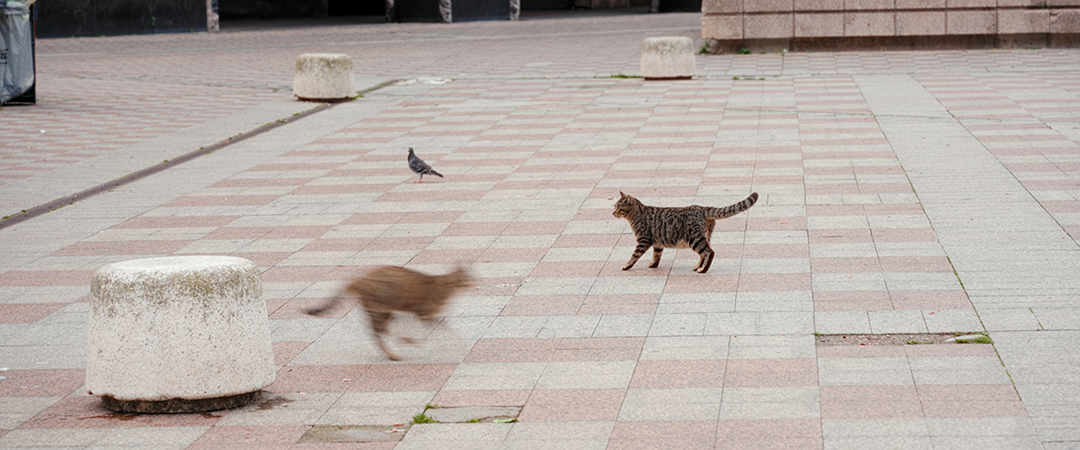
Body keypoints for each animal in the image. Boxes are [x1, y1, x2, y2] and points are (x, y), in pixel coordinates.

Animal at [304, 264, 473, 360]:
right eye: (463, 281)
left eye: (472, 278)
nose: (472, 283)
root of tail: (360, 279)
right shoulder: (423, 313)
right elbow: (444, 330)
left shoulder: (429, 316)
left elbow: (446, 328)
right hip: (379, 307)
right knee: (379, 331)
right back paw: (398, 347)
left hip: (385, 311)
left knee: (381, 330)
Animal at [617, 189, 760, 271]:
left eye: (618, 207)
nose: (613, 212)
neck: (636, 215)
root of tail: (702, 208)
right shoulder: (658, 243)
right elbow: (656, 255)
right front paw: (653, 264)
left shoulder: (643, 240)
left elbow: (634, 255)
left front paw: (627, 265)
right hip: (704, 236)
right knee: (704, 253)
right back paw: (698, 266)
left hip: (694, 238)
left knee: (709, 252)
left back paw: (703, 269)